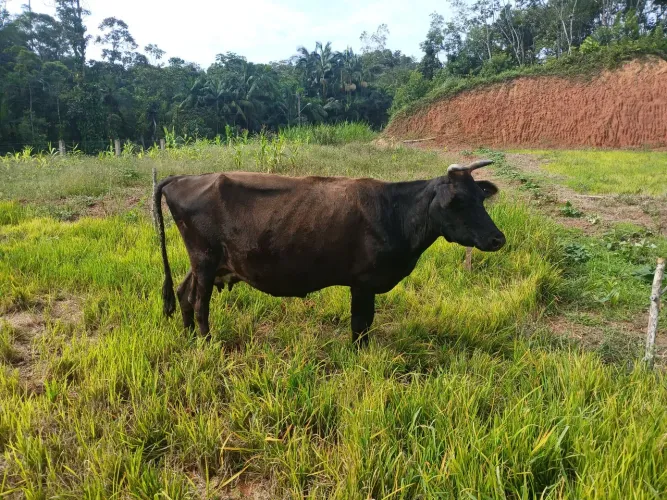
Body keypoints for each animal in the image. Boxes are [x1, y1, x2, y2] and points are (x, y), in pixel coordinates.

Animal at [153, 159, 505, 346]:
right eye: (457, 202)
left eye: (480, 197)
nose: (497, 238)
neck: (395, 213)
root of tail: (184, 177)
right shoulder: (363, 282)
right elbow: (361, 324)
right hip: (204, 257)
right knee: (199, 303)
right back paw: (205, 344)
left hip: (207, 262)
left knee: (184, 294)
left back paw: (188, 339)